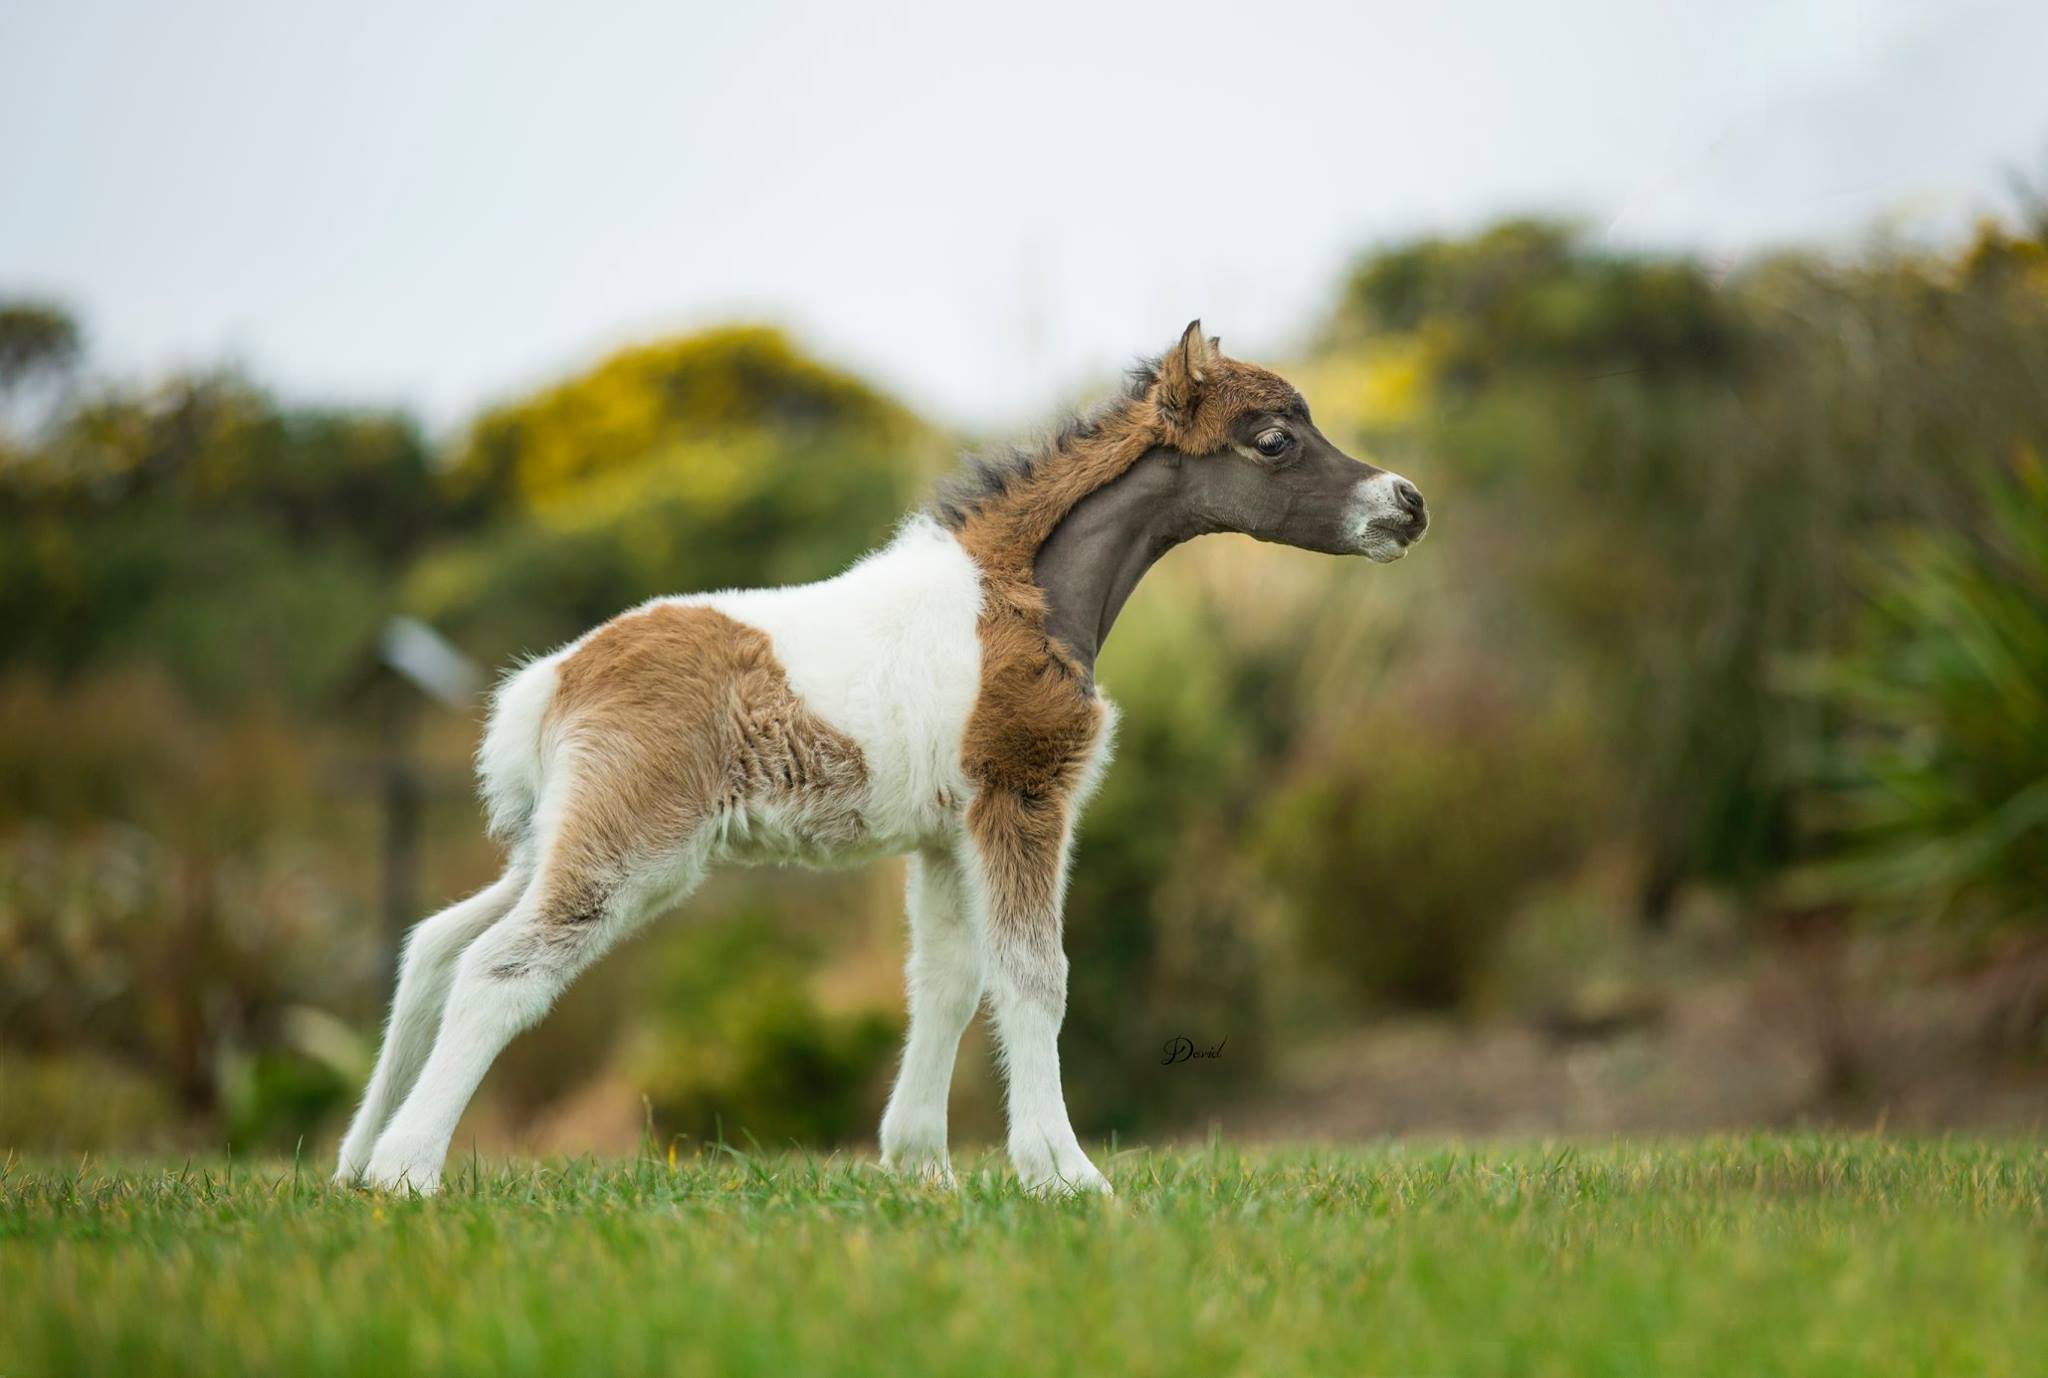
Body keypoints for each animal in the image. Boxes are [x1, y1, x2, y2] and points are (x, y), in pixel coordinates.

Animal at [335, 321, 1429, 1196]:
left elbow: (945, 977)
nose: (1408, 503)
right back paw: (406, 1171)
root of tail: (552, 680)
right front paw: (1063, 1174)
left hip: (556, 835)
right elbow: (1035, 974)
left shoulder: (946, 834)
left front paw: (919, 1166)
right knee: (501, 965)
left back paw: (352, 1161)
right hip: (636, 844)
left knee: (435, 942)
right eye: (1274, 439)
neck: (1022, 595)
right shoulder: (1024, 795)